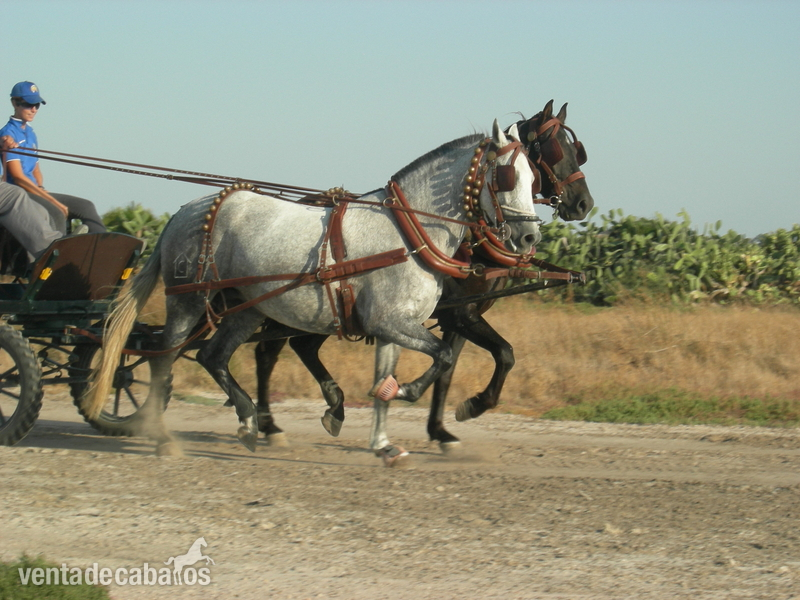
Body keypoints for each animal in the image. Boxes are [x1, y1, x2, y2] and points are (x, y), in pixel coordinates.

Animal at [86, 119, 543, 457]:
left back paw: (249, 421)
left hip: (247, 307)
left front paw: (383, 440)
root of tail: (184, 211)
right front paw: (408, 392)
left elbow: (392, 374)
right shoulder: (393, 321)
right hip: (189, 300)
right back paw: (164, 436)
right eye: (507, 177)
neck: (409, 231)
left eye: (534, 177)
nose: (529, 239)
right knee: (164, 358)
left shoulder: (396, 325)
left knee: (212, 356)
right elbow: (444, 356)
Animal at [248, 100, 593, 460]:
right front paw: (473, 405)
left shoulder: (461, 315)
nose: (584, 203)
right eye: (552, 149)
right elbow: (505, 353)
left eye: (577, 152)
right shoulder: (459, 314)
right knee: (267, 354)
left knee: (299, 347)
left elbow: (450, 371)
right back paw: (271, 424)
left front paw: (441, 430)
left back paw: (330, 408)